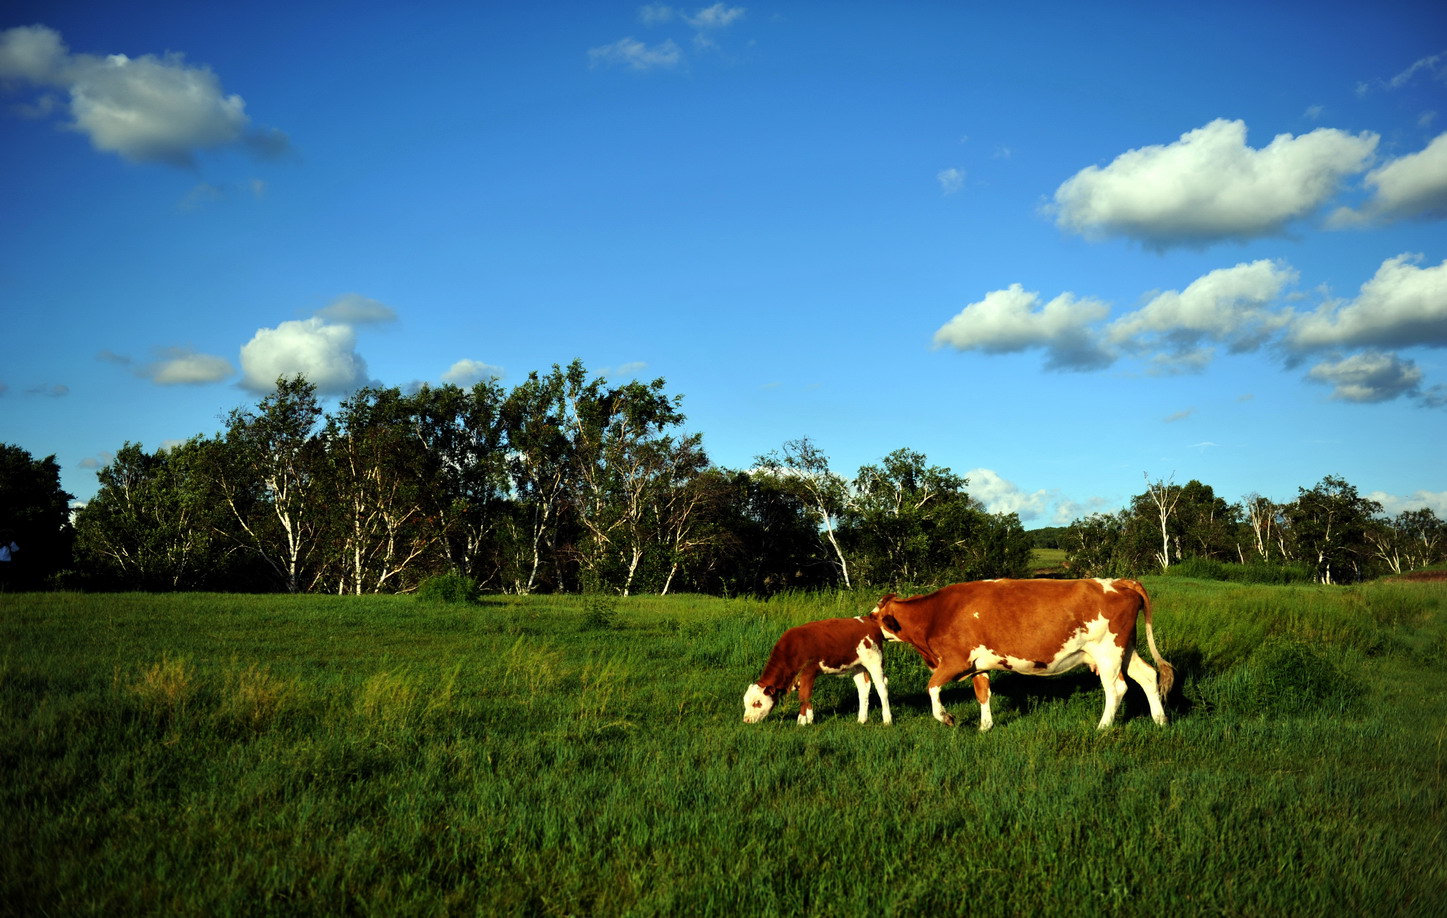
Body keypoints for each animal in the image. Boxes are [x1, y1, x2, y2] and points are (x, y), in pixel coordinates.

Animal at [746, 613, 891, 721]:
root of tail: (867, 620)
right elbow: (807, 696)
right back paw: (862, 720)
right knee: (863, 689)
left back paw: (887, 720)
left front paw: (801, 721)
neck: (792, 648)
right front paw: (809, 719)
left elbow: (803, 696)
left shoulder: (808, 672)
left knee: (881, 687)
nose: (746, 720)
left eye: (757, 702)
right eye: (745, 702)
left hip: (875, 662)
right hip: (858, 666)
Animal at [862, 579, 1169, 729]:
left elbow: (932, 688)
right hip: (1125, 650)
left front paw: (947, 718)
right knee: (1148, 676)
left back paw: (1103, 726)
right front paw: (985, 727)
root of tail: (1118, 581)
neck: (935, 613)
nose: (863, 620)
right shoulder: (978, 664)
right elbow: (983, 694)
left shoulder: (955, 661)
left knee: (1116, 688)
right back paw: (1160, 721)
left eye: (875, 617)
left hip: (1108, 652)